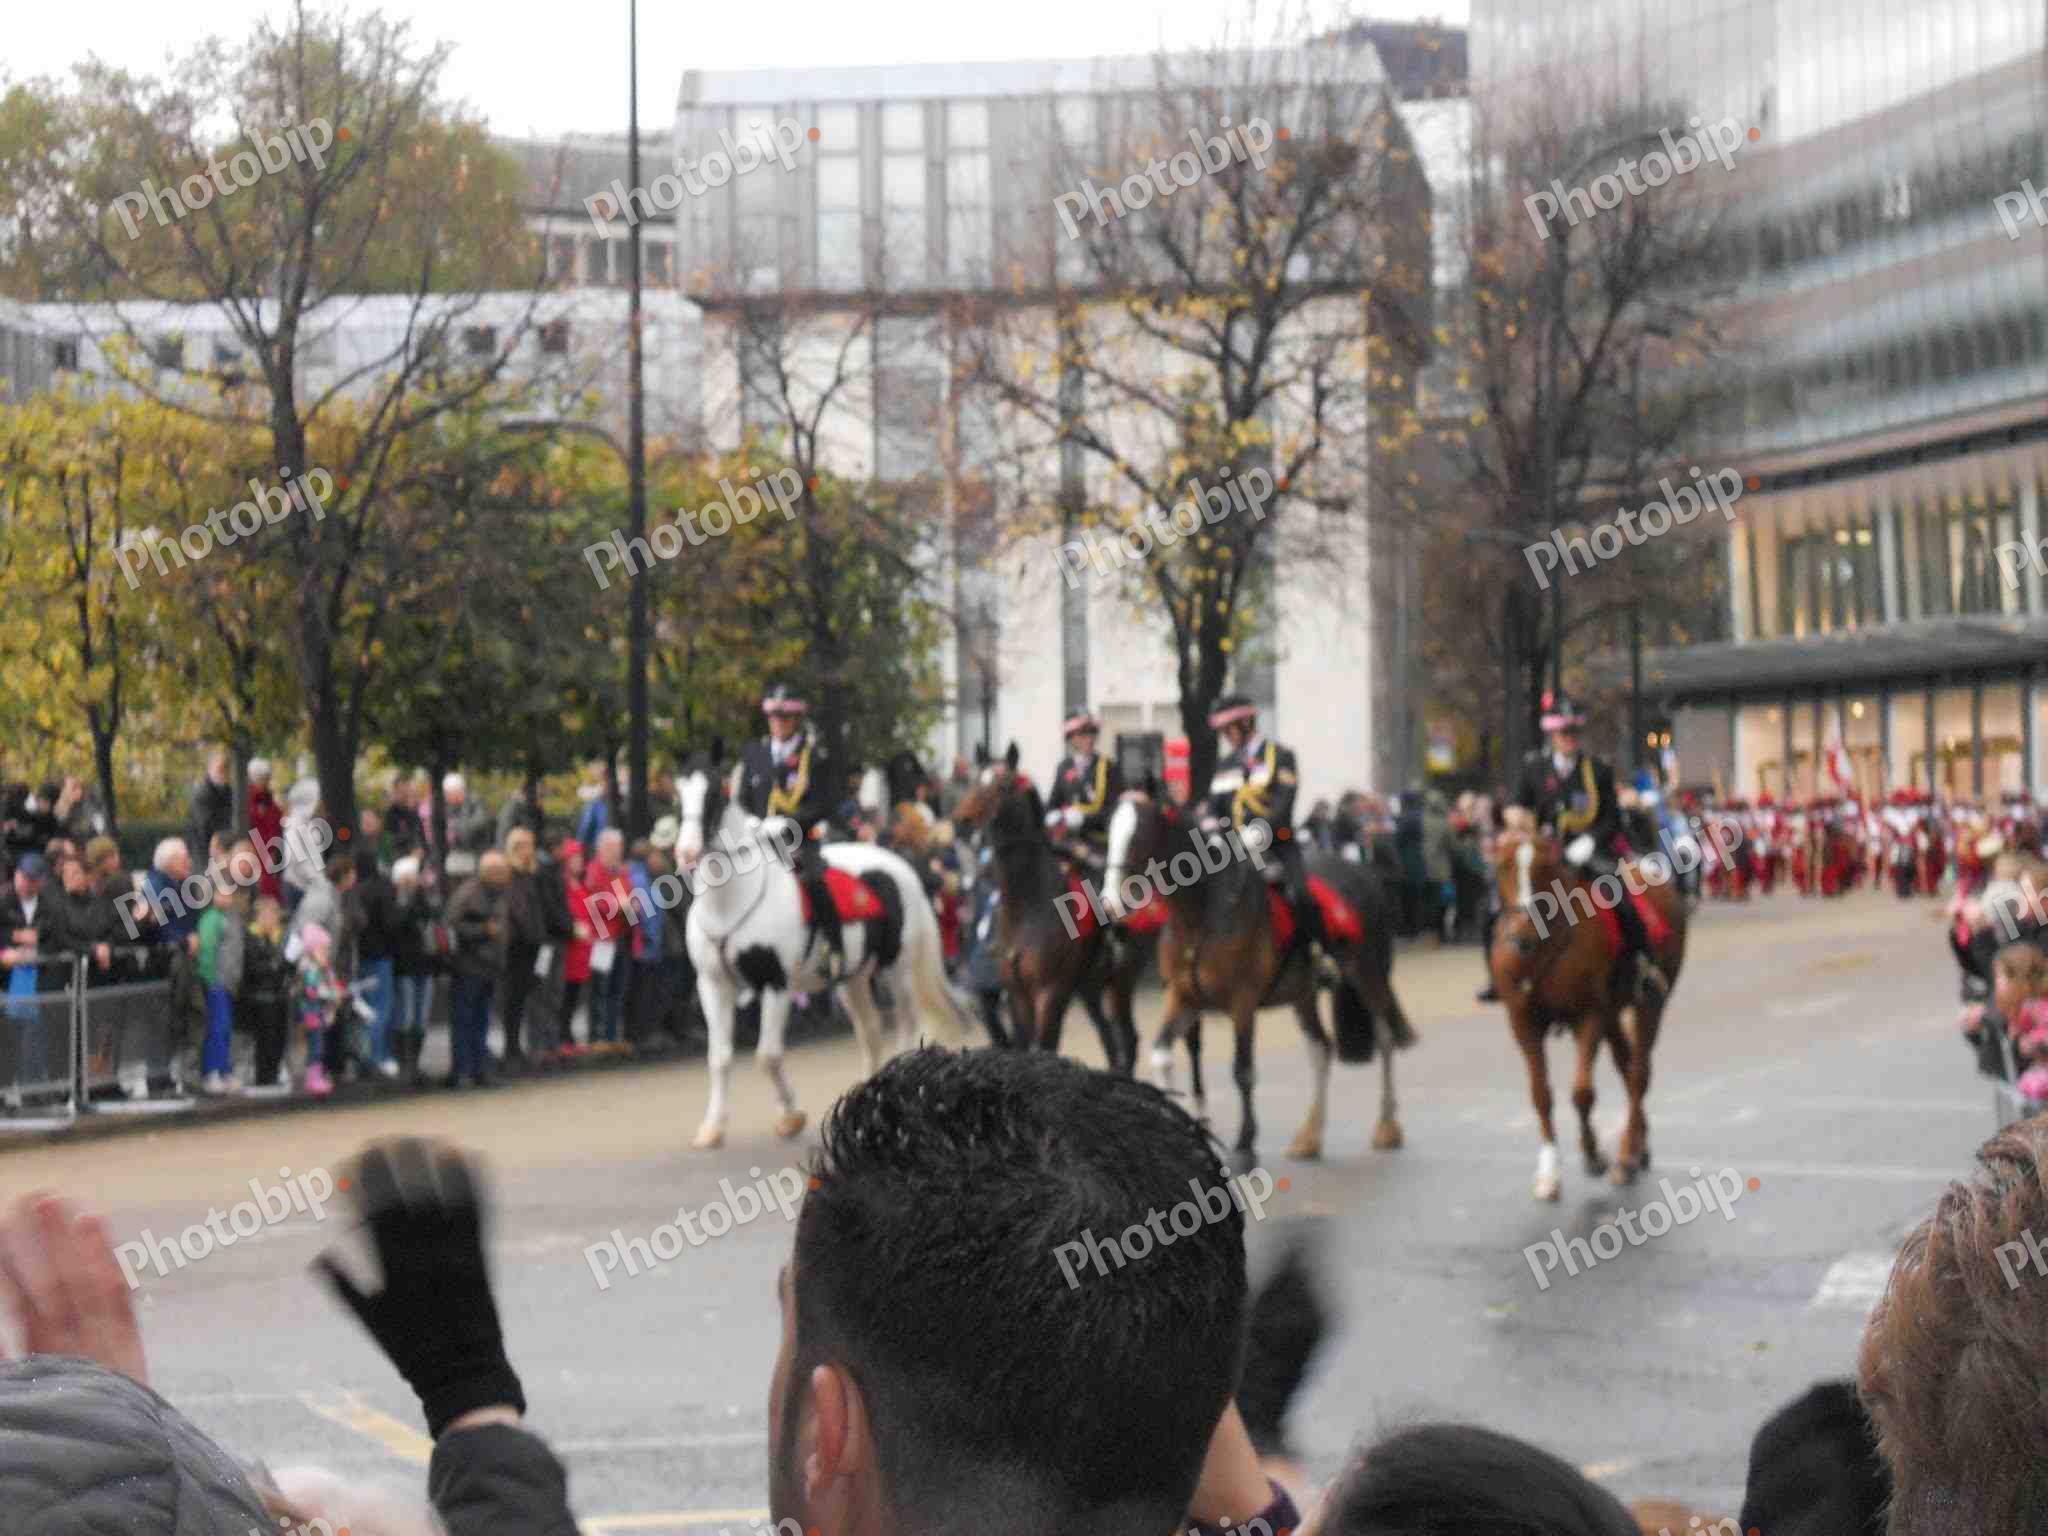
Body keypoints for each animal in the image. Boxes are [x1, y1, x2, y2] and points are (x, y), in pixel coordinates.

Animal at [674, 754, 966, 1150]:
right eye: (679, 792)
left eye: (716, 792)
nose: (686, 852)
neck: (732, 901)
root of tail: (903, 867)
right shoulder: (713, 984)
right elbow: (719, 1058)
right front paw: (712, 1127)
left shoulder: (776, 984)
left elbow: (767, 1056)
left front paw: (790, 1117)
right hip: (853, 979)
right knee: (870, 1031)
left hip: (897, 970)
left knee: (906, 1023)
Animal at [949, 753, 1143, 1074]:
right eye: (976, 778)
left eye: (1003, 785)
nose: (961, 822)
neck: (1028, 908)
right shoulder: (1018, 994)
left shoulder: (1050, 993)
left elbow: (1045, 1048)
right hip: (1089, 987)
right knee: (1109, 1038)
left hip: (1120, 982)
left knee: (1127, 1039)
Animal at [1104, 791, 1415, 1161]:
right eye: (1109, 833)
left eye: (1137, 835)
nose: (1108, 904)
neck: (1201, 913)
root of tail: (1363, 873)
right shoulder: (1185, 998)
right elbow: (1162, 1057)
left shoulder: (1243, 1002)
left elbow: (1243, 1071)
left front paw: (1244, 1143)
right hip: (1303, 996)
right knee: (1321, 1050)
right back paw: (1309, 1137)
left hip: (1369, 976)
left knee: (1384, 1040)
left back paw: (1387, 1127)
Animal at [1489, 829, 1687, 1201]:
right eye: (1502, 864)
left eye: (1543, 866)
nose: (1521, 935)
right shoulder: (1523, 1023)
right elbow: (1541, 1094)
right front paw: (1549, 1172)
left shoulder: (1589, 1016)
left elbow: (1582, 1092)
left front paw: (1594, 1154)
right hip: (1613, 1014)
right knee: (1627, 1066)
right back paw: (1638, 1149)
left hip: (1649, 1004)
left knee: (1638, 1075)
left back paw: (1625, 1156)